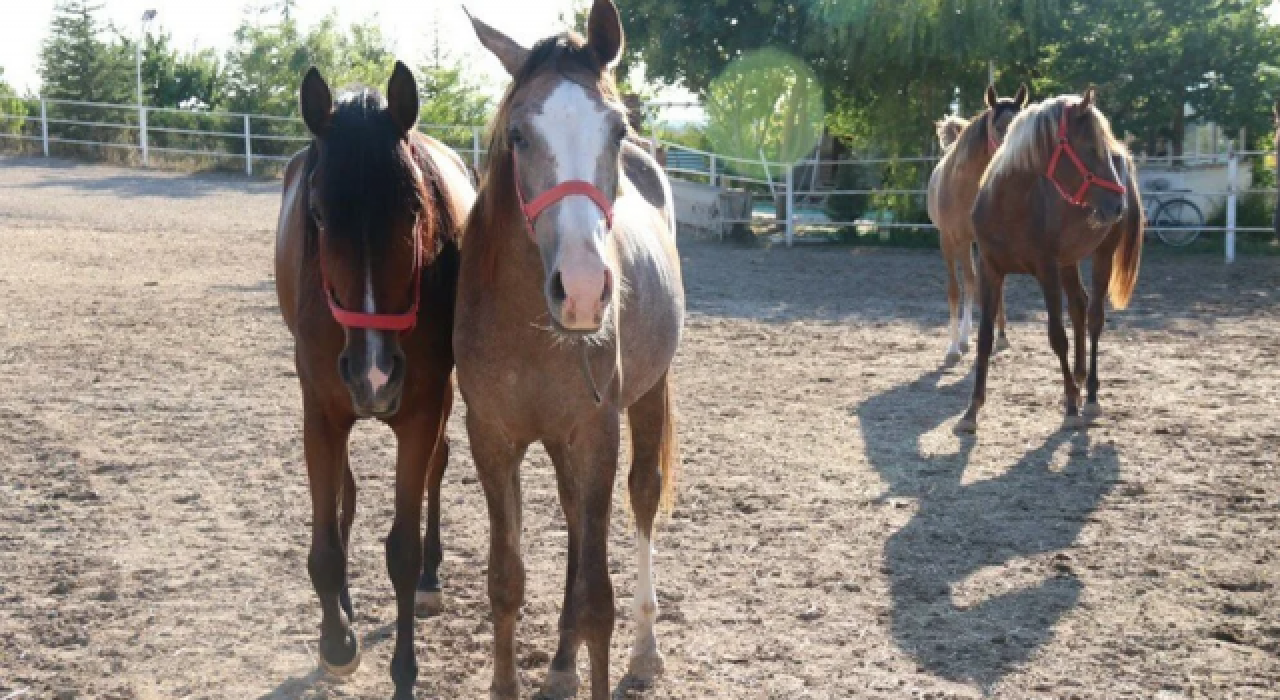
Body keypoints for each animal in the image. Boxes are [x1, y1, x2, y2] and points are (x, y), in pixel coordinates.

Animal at [272, 63, 473, 696]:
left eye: (413, 210)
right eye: (317, 215)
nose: (375, 374)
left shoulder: (421, 411)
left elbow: (402, 552)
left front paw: (404, 673)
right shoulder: (321, 409)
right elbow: (326, 545)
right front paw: (336, 640)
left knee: (439, 468)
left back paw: (432, 578)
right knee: (347, 491)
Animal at [458, 2, 686, 696]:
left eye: (616, 130)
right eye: (518, 136)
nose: (583, 290)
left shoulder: (594, 432)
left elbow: (595, 600)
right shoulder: (491, 437)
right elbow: (506, 579)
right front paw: (510, 682)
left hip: (648, 395)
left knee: (642, 497)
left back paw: (645, 650)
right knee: (571, 525)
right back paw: (560, 666)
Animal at [926, 83, 1024, 360]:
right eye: (998, 126)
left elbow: (990, 289)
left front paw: (995, 338)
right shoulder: (948, 240)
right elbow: (955, 289)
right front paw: (953, 348)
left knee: (979, 284)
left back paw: (992, 336)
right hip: (962, 243)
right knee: (969, 282)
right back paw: (963, 338)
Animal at [962, 88, 1141, 432]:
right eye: (1089, 147)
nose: (1118, 204)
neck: (1009, 207)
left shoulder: (1047, 271)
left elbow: (1057, 337)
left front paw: (1070, 406)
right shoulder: (990, 269)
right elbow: (985, 337)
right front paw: (971, 410)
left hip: (1102, 254)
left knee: (1094, 317)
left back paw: (1090, 395)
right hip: (1068, 262)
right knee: (1079, 306)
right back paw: (1080, 377)